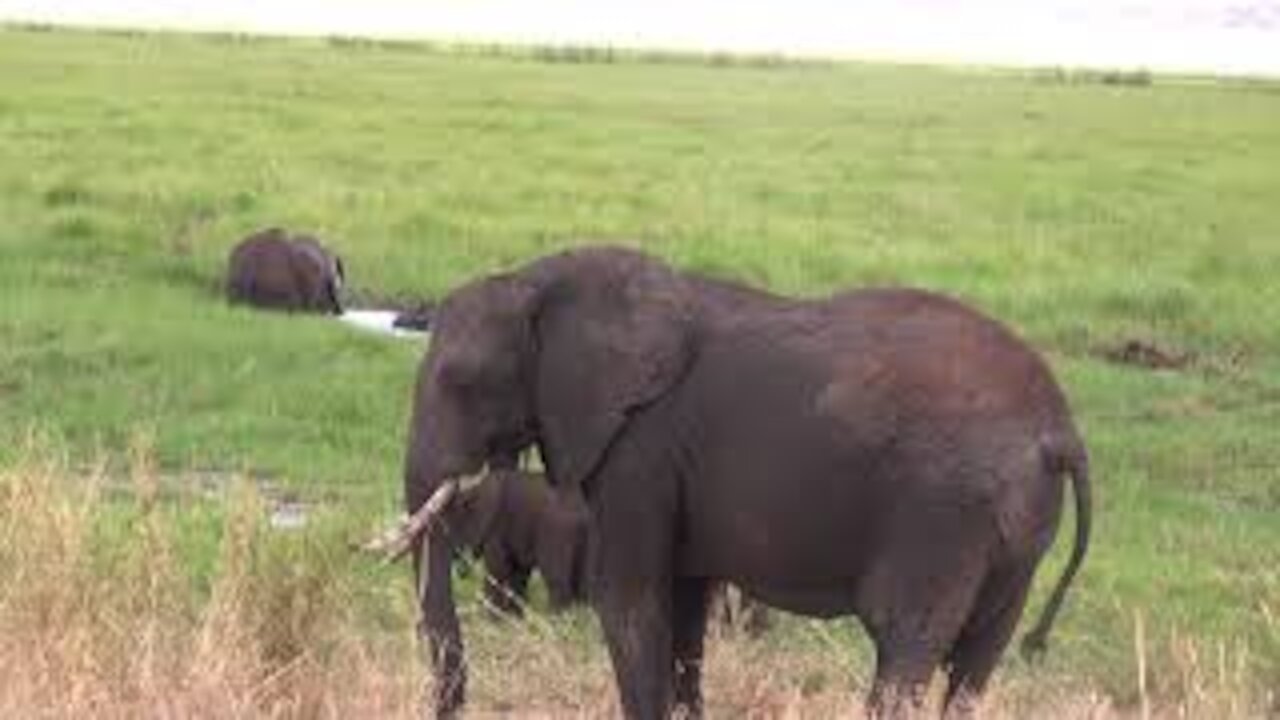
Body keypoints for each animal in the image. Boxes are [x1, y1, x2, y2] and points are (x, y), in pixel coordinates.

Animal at [399, 245, 1090, 717]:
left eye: (461, 382)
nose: (453, 705)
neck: (538, 279)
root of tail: (1060, 431)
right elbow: (682, 609)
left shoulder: (640, 453)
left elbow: (629, 603)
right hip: (1016, 535)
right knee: (976, 662)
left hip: (945, 513)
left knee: (905, 648)